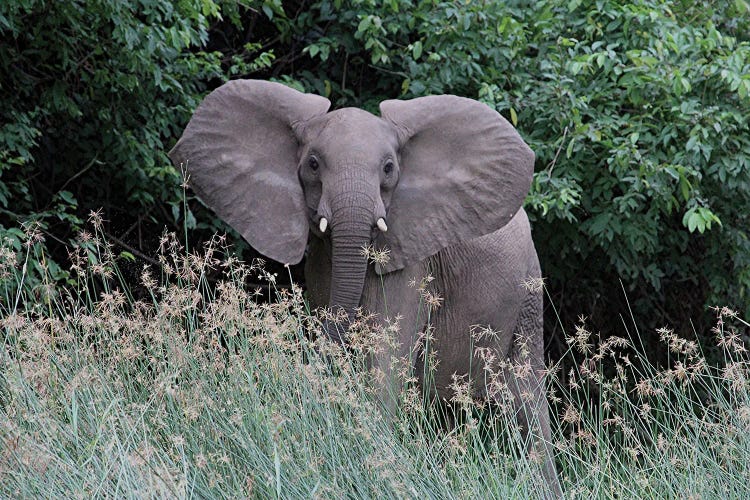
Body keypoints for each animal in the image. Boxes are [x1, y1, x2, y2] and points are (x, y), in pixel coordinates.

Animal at [170, 79, 564, 496]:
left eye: (389, 169)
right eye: (313, 164)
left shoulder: (410, 265)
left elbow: (383, 363)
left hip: (528, 293)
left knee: (526, 400)